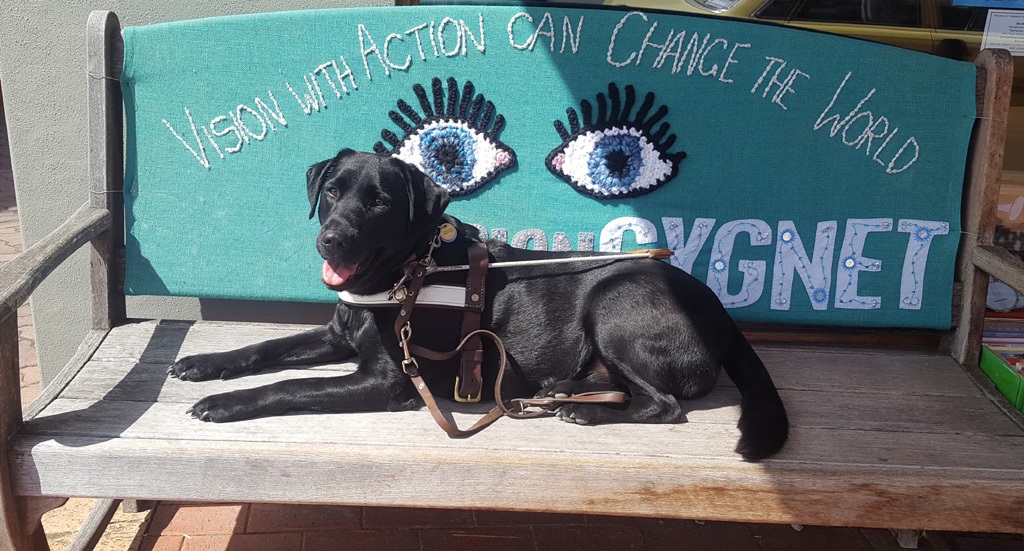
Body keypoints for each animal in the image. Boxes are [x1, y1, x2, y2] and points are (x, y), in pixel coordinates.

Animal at [169, 146, 790, 458]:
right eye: (331, 192)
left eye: (379, 202)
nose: (331, 240)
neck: (406, 272)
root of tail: (721, 312)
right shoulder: (335, 334)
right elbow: (266, 347)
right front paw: (205, 364)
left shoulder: (387, 381)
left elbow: (293, 385)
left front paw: (225, 403)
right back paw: (562, 390)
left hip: (615, 301)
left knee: (665, 405)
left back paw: (584, 410)